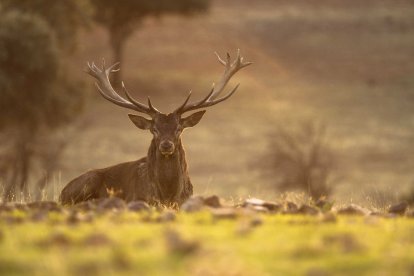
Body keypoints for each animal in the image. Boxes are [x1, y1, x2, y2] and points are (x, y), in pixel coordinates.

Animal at [59, 49, 251, 206]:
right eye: (154, 129)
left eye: (179, 128)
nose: (166, 145)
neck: (167, 194)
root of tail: (62, 192)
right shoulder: (137, 199)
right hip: (87, 181)